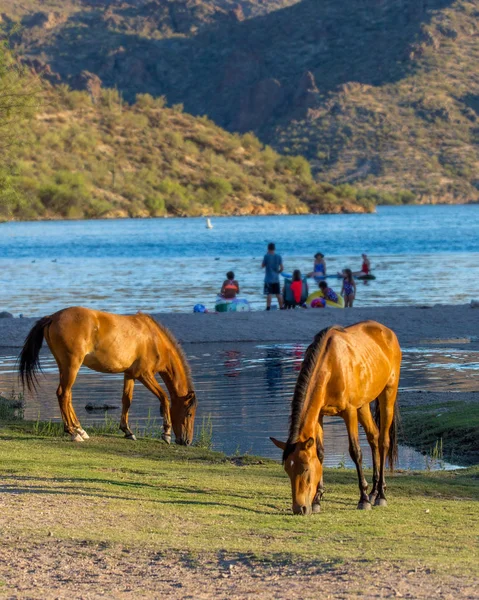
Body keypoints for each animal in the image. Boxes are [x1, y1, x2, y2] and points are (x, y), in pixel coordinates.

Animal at [19, 310, 197, 446]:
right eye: (189, 414)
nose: (187, 441)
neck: (153, 338)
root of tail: (52, 317)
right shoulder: (144, 375)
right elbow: (164, 398)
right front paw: (166, 433)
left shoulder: (130, 375)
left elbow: (127, 401)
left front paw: (127, 431)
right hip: (72, 366)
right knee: (63, 394)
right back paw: (72, 433)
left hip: (65, 367)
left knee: (67, 395)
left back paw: (79, 429)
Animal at [272, 322, 404, 512]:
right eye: (288, 471)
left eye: (305, 469)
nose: (299, 508)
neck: (331, 366)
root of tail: (387, 331)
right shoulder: (319, 414)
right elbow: (320, 453)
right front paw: (317, 500)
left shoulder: (349, 412)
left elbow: (355, 452)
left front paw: (363, 499)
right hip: (363, 404)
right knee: (374, 436)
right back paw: (374, 491)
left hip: (388, 393)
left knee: (383, 441)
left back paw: (380, 495)